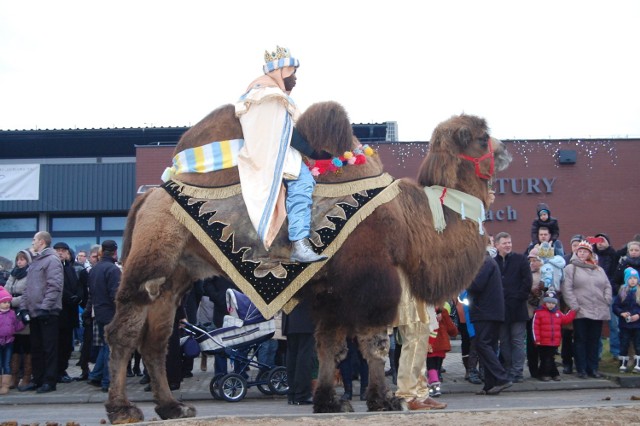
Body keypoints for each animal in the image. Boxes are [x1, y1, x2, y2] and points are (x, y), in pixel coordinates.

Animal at [106, 102, 516, 422]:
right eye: (482, 137)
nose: (505, 152)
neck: (409, 220)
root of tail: (149, 196)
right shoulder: (372, 279)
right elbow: (373, 342)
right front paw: (382, 400)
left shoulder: (332, 290)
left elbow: (330, 345)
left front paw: (330, 402)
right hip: (152, 258)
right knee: (124, 331)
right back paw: (123, 409)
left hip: (175, 277)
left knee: (156, 341)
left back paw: (172, 408)